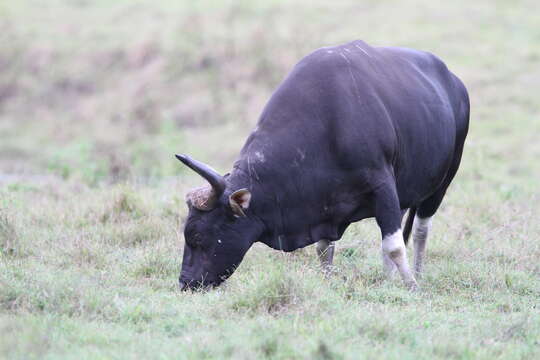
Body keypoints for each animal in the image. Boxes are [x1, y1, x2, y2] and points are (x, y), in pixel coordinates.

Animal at [176, 40, 468, 292]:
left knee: (420, 229)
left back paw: (416, 273)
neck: (328, 122)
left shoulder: (382, 185)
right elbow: (324, 249)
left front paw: (412, 287)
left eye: (198, 236)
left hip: (444, 180)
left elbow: (394, 245)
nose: (186, 283)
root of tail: (454, 82)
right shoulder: (325, 204)